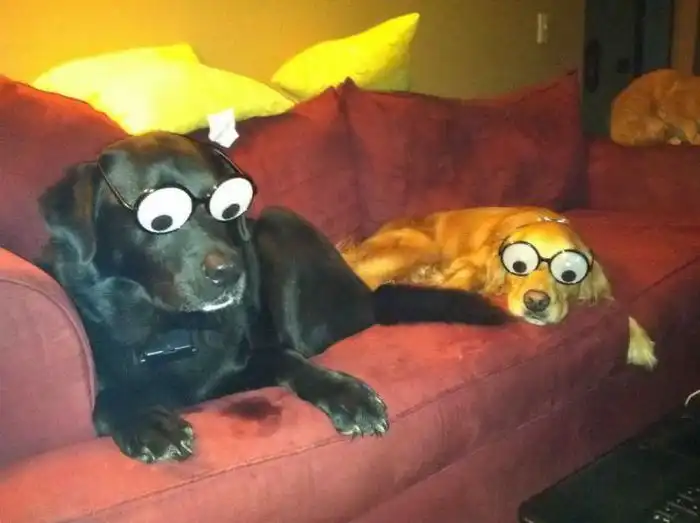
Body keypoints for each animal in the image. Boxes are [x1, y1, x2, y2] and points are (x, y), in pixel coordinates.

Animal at [36, 132, 510, 463]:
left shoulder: (238, 367)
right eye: (161, 217)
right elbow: (109, 401)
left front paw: (346, 395)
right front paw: (150, 422)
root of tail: (369, 295)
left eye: (228, 206)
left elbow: (289, 359)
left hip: (278, 223)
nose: (231, 272)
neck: (171, 330)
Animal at [339, 206, 657, 370]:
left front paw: (639, 342)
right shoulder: (469, 263)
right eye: (520, 265)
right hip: (420, 244)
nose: (536, 302)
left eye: (568, 273)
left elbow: (615, 302)